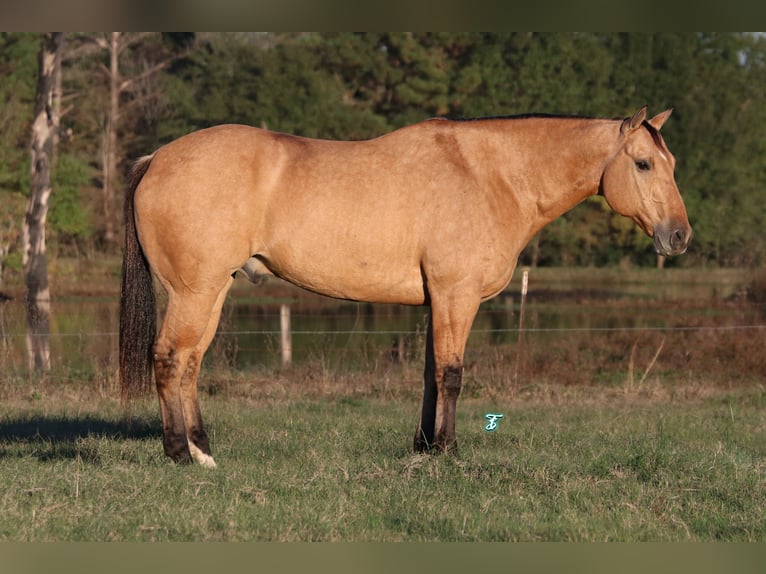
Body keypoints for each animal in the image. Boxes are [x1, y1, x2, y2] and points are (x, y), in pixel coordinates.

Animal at [120, 107, 696, 468]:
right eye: (643, 163)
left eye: (670, 163)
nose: (679, 236)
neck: (492, 176)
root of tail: (157, 158)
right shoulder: (456, 296)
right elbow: (452, 374)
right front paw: (447, 450)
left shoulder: (436, 301)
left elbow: (428, 375)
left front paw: (421, 445)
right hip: (193, 292)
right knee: (170, 358)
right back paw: (179, 455)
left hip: (213, 292)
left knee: (191, 364)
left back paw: (203, 451)